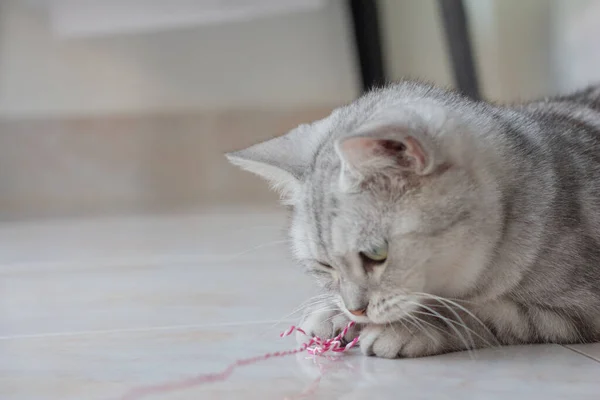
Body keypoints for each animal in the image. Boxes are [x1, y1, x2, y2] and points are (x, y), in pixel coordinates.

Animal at [227, 79, 600, 358]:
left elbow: (482, 311)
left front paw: (411, 327)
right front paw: (332, 313)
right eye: (323, 266)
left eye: (376, 255)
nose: (356, 311)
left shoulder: (579, 308)